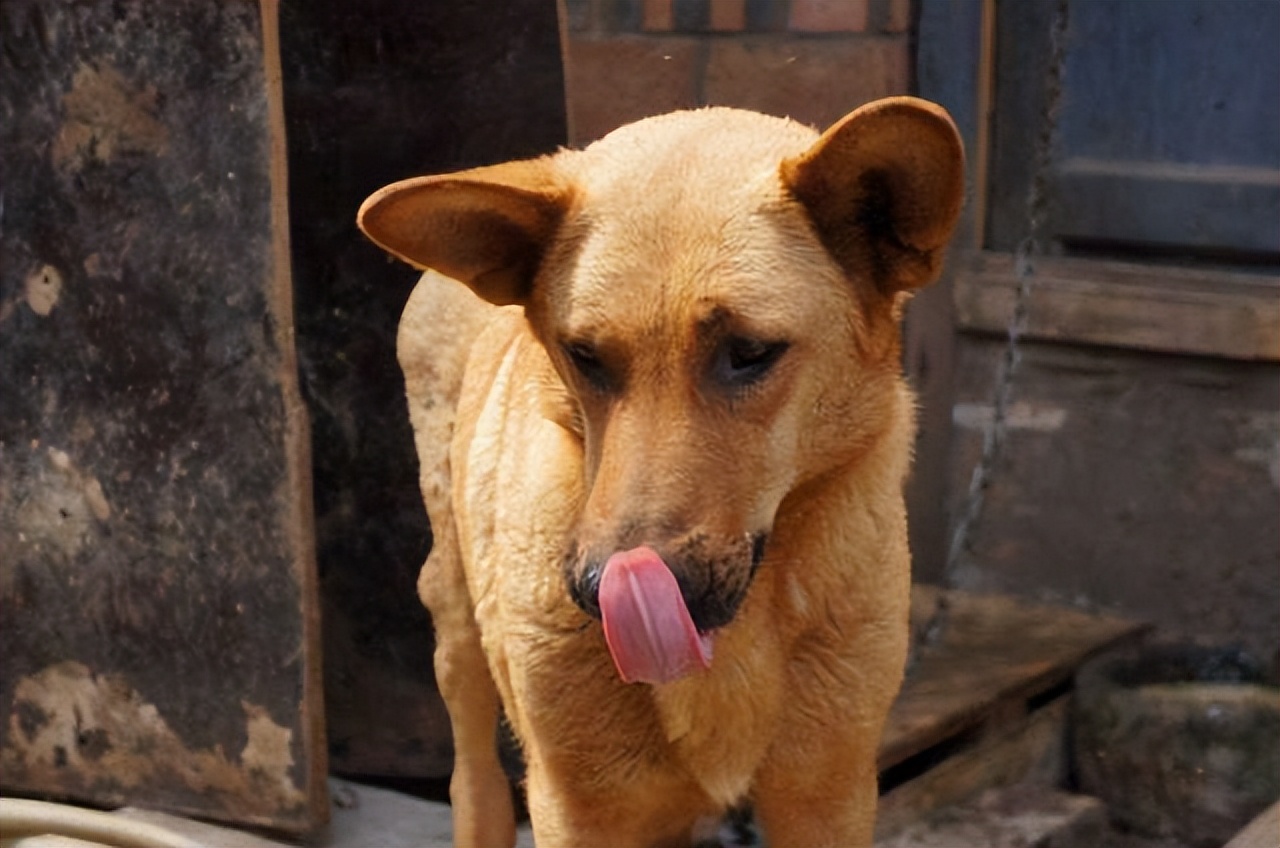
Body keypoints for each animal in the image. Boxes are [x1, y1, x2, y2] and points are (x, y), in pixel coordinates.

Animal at [355, 96, 962, 845]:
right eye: (583, 355)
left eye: (750, 352)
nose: (599, 592)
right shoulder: (580, 809)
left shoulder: (828, 797)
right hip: (456, 621)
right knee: (473, 779)